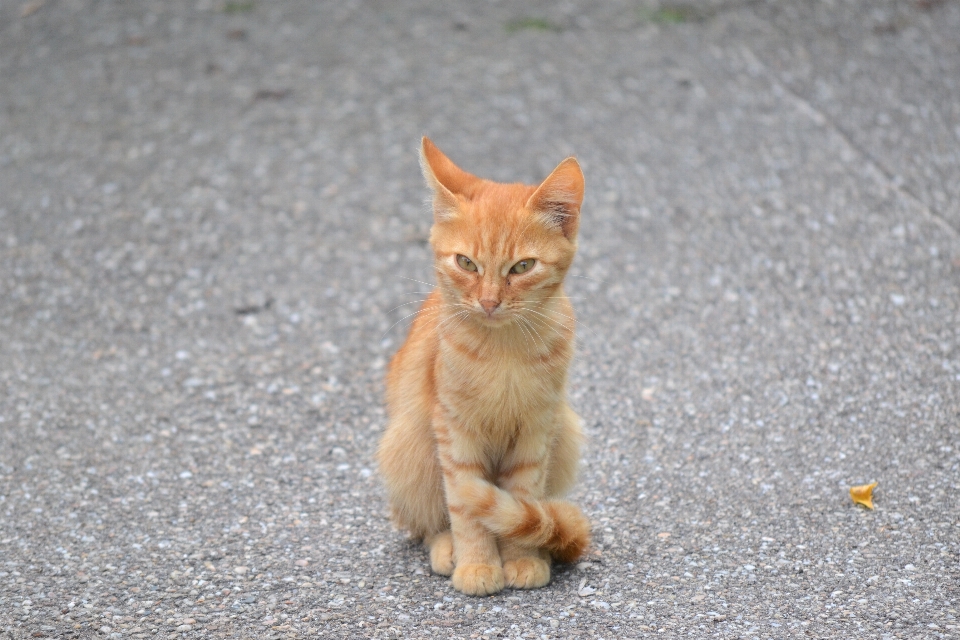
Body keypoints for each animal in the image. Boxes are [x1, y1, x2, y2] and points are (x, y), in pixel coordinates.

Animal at [376, 136, 592, 596]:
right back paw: (446, 548)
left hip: (566, 433)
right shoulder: (454, 430)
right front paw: (477, 564)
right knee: (425, 524)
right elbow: (466, 506)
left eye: (523, 266)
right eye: (466, 263)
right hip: (408, 446)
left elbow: (523, 499)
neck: (504, 351)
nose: (489, 301)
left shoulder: (538, 430)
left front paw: (524, 557)